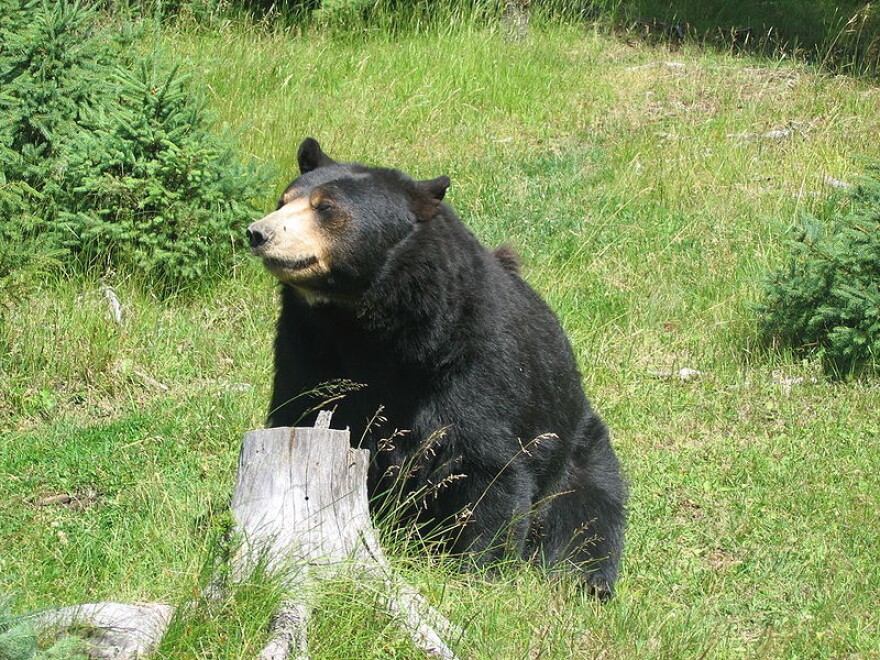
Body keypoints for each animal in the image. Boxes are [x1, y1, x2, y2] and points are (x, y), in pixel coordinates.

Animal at [249, 139, 624, 600]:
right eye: (284, 200)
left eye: (326, 208)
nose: (258, 232)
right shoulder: (307, 346)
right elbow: (301, 412)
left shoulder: (477, 361)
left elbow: (489, 465)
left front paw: (476, 570)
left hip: (579, 456)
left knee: (584, 519)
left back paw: (586, 579)